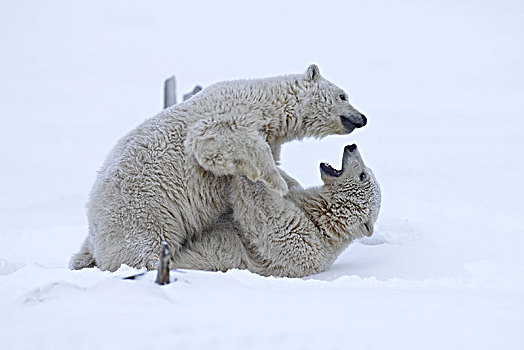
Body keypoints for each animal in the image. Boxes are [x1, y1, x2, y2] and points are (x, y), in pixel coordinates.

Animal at [69, 64, 366, 270]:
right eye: (343, 95)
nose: (362, 117)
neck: (265, 101)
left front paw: (289, 185)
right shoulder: (232, 113)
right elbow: (212, 141)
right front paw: (277, 184)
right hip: (139, 215)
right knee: (141, 248)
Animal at [173, 144, 380, 278]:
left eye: (363, 175)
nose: (351, 146)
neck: (323, 222)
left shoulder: (303, 243)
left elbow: (267, 217)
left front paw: (248, 167)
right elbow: (287, 187)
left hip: (215, 257)